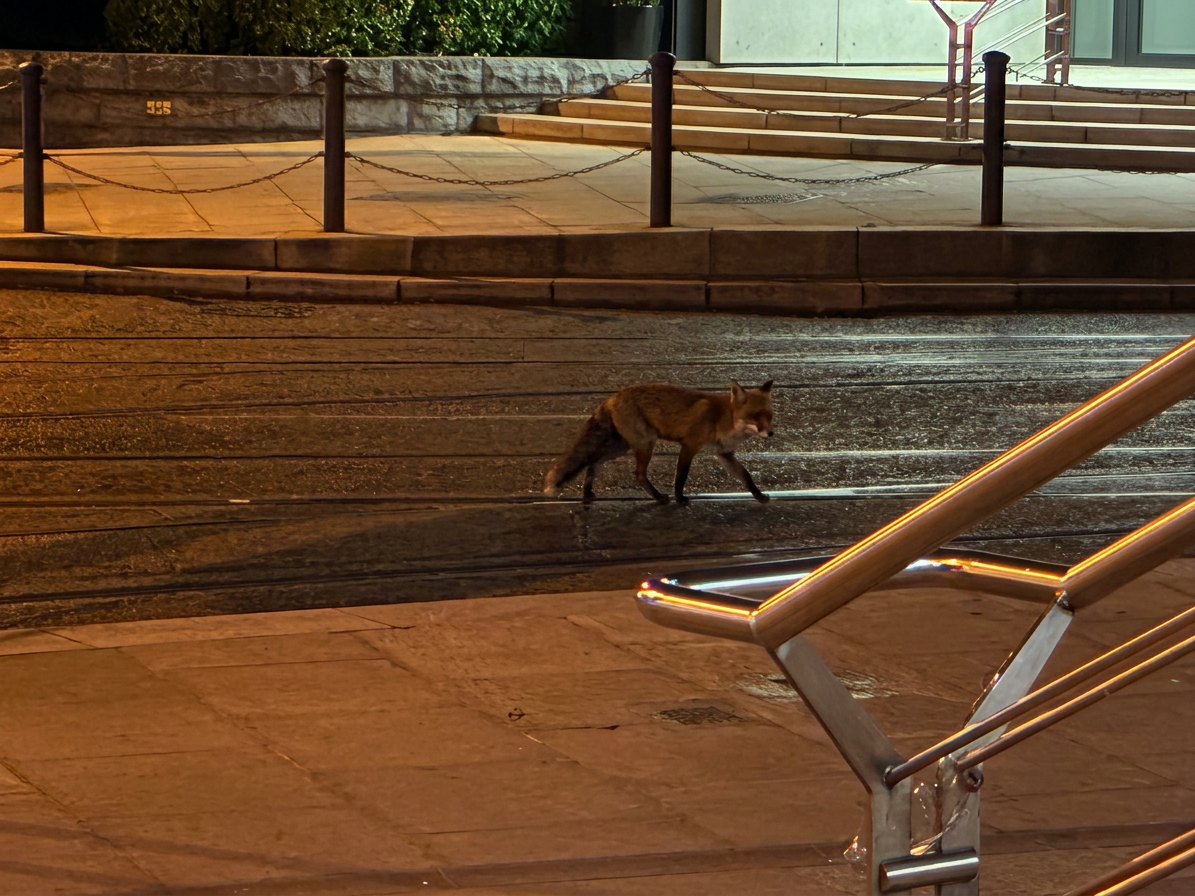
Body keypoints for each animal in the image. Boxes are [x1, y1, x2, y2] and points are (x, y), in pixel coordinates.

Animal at [543, 380, 775, 505]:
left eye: (770, 416)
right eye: (755, 416)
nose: (771, 433)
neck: (723, 419)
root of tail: (612, 398)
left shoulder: (724, 454)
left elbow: (746, 476)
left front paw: (758, 495)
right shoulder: (689, 446)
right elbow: (680, 476)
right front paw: (680, 498)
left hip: (622, 446)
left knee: (593, 461)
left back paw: (587, 491)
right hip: (645, 444)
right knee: (638, 474)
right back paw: (657, 497)